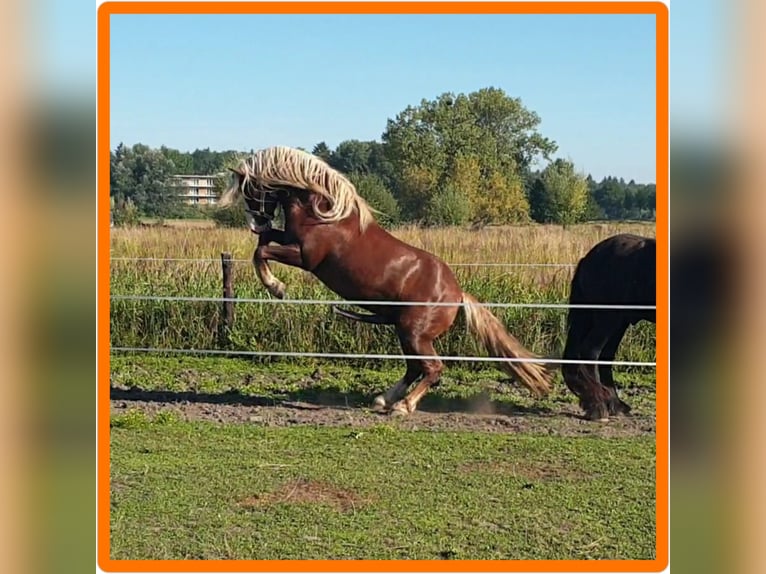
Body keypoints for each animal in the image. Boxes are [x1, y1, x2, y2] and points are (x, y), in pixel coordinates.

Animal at [219, 146, 556, 416]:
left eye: (250, 190)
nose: (256, 222)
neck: (325, 213)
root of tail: (457, 294)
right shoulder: (288, 239)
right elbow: (263, 243)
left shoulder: (305, 257)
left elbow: (261, 250)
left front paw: (276, 287)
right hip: (406, 333)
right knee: (415, 368)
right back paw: (384, 400)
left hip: (414, 334)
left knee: (433, 368)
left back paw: (403, 407)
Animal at [560, 234, 656, 424]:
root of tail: (588, 259)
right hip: (608, 319)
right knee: (591, 351)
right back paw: (598, 407)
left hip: (617, 322)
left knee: (605, 357)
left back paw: (614, 405)